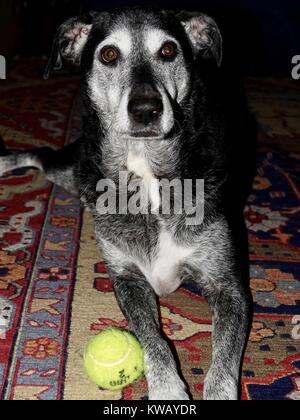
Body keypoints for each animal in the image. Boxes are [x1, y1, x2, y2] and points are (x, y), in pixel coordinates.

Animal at [0, 7, 254, 400]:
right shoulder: (126, 279)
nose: (146, 110)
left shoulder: (227, 286)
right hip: (76, 170)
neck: (146, 169)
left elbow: (224, 357)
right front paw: (168, 389)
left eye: (168, 50)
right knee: (40, 154)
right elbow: (154, 339)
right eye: (108, 54)